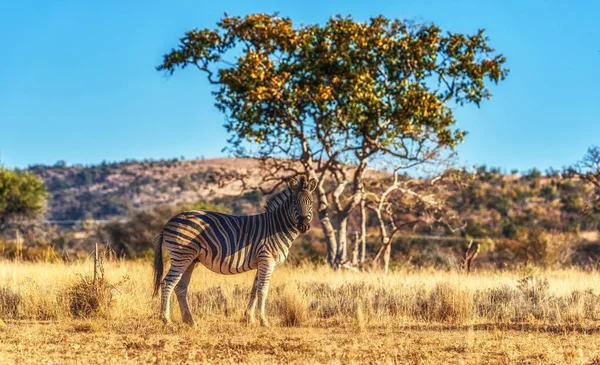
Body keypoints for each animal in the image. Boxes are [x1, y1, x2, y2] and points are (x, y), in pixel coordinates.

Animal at [152, 175, 316, 326]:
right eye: (294, 203)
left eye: (311, 202)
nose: (304, 226)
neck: (277, 227)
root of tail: (168, 222)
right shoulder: (267, 260)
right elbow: (263, 290)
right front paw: (263, 321)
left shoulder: (261, 262)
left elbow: (254, 290)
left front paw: (250, 318)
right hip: (181, 255)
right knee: (167, 283)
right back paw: (166, 320)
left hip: (190, 259)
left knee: (180, 287)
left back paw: (190, 321)